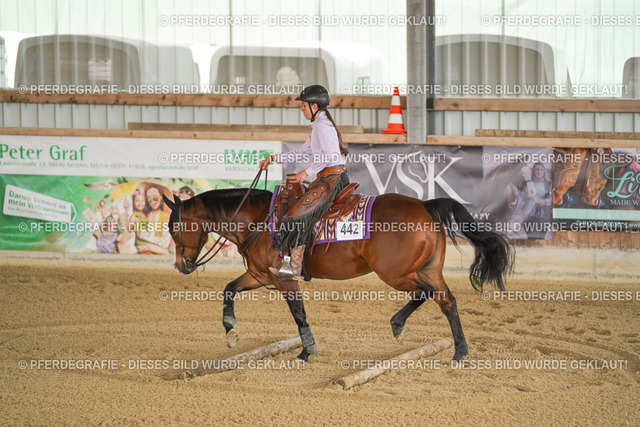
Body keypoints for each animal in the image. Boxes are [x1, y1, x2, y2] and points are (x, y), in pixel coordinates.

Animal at [162, 188, 514, 362]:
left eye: (173, 227)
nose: (182, 265)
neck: (259, 219)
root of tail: (425, 205)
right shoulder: (261, 276)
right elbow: (229, 289)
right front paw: (230, 327)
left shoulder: (284, 279)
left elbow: (299, 315)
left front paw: (306, 351)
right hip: (427, 270)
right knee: (448, 301)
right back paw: (459, 352)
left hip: (397, 273)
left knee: (427, 294)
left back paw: (398, 325)